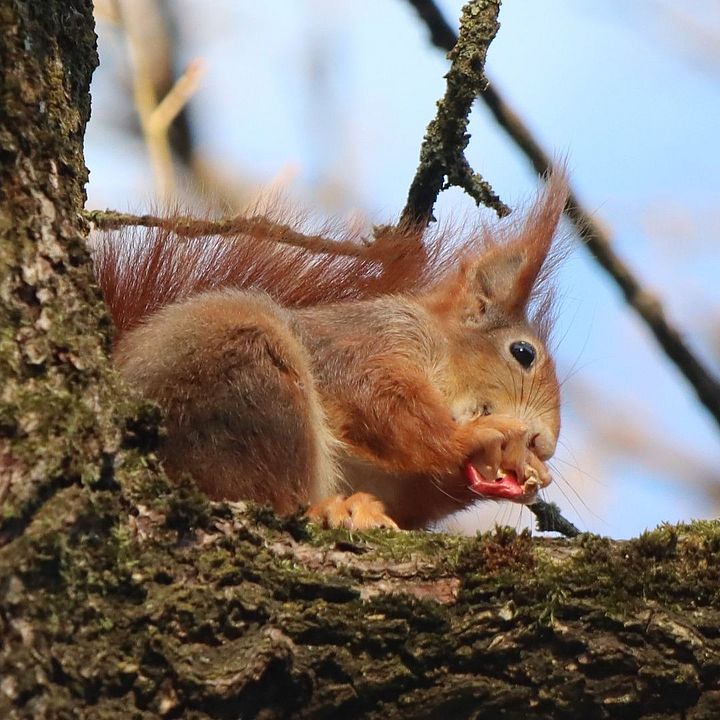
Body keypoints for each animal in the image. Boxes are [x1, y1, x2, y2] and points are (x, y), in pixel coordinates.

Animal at [94, 172, 568, 531]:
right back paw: (329, 509)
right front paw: (478, 435)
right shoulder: (366, 344)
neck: (438, 348)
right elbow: (387, 408)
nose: (545, 445)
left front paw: (526, 468)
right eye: (523, 352)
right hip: (246, 378)